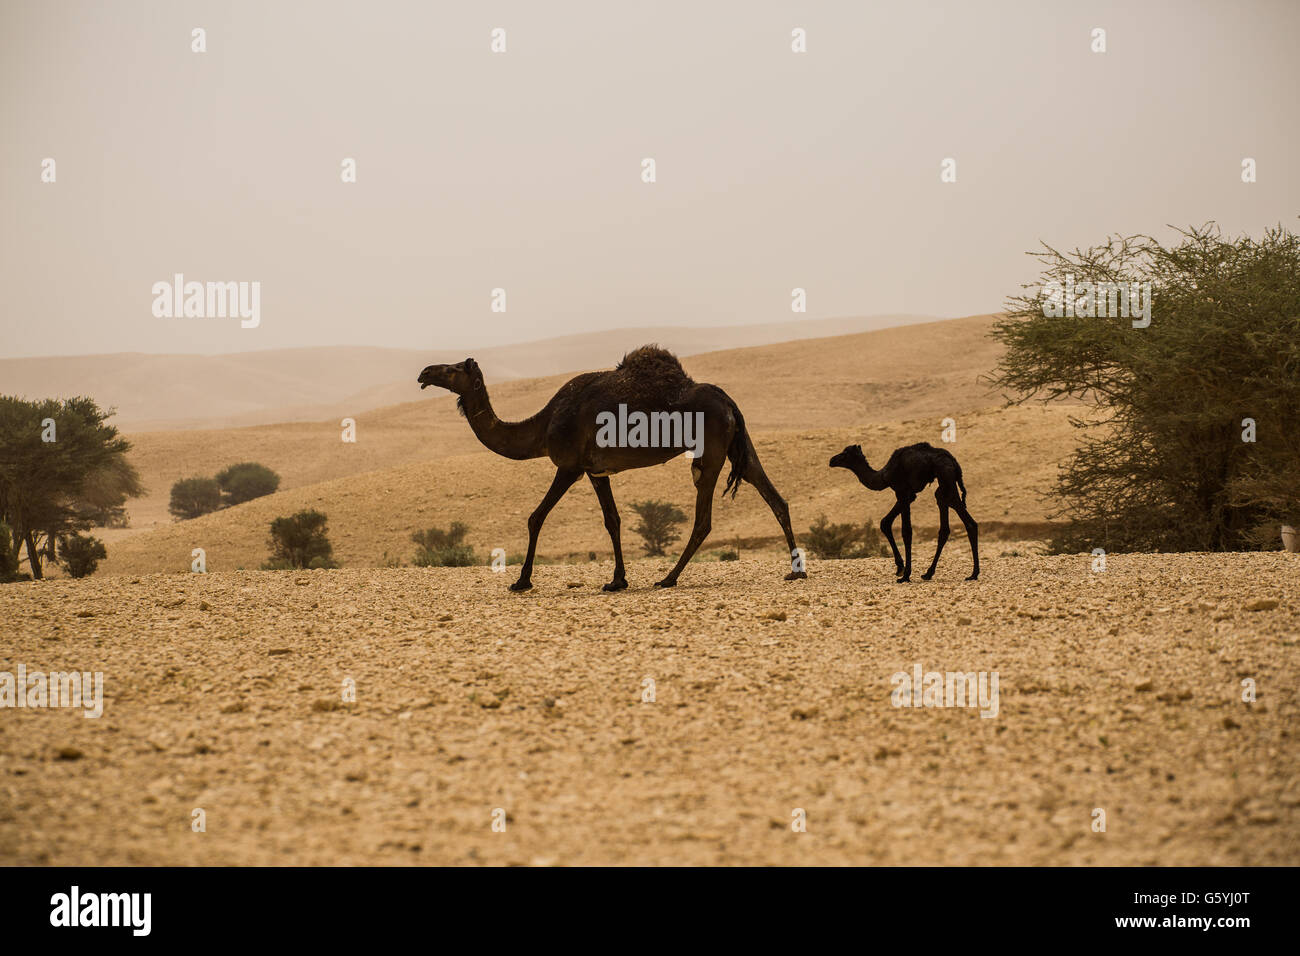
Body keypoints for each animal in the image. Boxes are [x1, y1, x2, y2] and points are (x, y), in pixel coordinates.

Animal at [418, 348, 800, 590]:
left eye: (452, 369)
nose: (424, 371)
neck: (543, 426)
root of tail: (729, 401)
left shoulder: (569, 465)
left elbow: (535, 517)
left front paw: (522, 581)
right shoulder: (595, 470)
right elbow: (612, 520)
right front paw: (618, 580)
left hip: (711, 448)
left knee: (704, 519)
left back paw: (668, 578)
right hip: (737, 443)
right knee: (772, 495)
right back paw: (796, 572)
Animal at [826, 442, 977, 582]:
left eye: (845, 453)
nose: (832, 460)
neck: (883, 475)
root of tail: (954, 462)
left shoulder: (902, 491)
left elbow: (905, 531)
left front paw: (904, 574)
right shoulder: (909, 496)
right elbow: (886, 523)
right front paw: (901, 569)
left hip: (945, 478)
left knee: (966, 521)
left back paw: (972, 574)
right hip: (945, 483)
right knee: (949, 523)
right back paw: (930, 574)